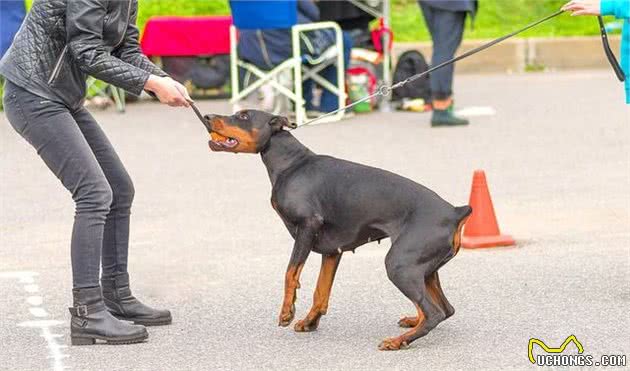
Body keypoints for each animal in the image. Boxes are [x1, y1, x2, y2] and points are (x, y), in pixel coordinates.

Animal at [205, 111, 472, 352]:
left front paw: (287, 312)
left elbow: (290, 273)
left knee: (433, 312)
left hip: (400, 264)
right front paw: (309, 322)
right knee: (445, 309)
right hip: (424, 270)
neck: (291, 164)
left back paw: (398, 341)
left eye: (243, 116)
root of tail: (454, 212)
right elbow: (321, 292)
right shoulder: (332, 251)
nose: (207, 117)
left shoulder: (307, 226)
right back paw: (412, 322)